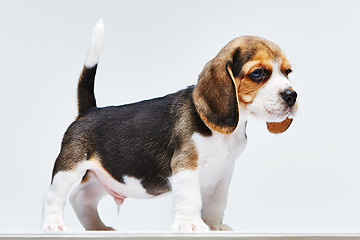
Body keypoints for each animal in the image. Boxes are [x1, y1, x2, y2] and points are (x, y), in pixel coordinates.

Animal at [41, 19, 298, 232]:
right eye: (258, 73)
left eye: (288, 72)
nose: (291, 96)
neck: (224, 134)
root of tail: (89, 111)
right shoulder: (185, 166)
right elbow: (192, 197)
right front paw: (190, 224)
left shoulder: (223, 173)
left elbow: (216, 202)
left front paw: (215, 226)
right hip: (69, 166)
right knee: (54, 196)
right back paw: (54, 225)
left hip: (103, 176)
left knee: (80, 197)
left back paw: (98, 228)